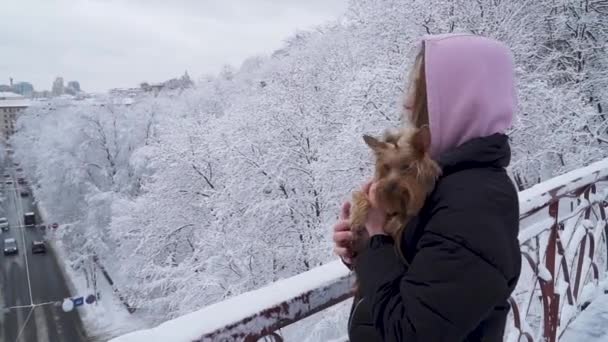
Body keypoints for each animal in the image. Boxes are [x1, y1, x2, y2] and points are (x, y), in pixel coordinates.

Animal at [346, 125, 442, 294]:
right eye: (386, 167)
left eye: (406, 167)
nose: (390, 186)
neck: (399, 199)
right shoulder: (370, 190)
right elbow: (360, 197)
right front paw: (356, 220)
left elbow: (401, 218)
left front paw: (391, 223)